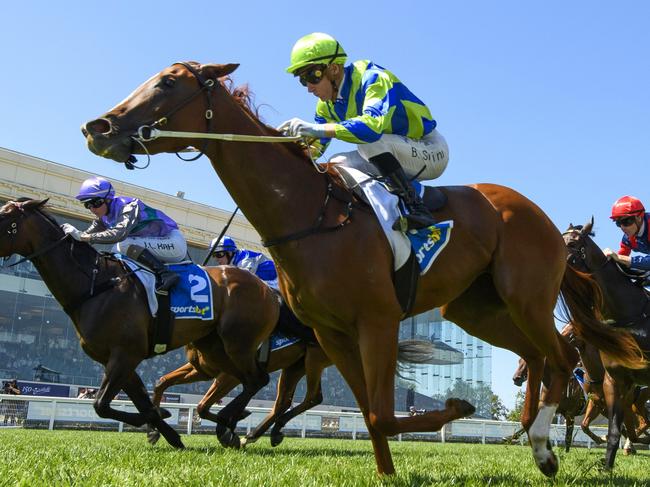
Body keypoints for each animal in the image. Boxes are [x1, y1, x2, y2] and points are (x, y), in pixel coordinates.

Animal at [0, 199, 278, 450]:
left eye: (4, 216)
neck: (97, 285)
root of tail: (268, 290)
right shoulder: (117, 359)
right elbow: (139, 403)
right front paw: (166, 431)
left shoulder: (125, 354)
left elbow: (101, 405)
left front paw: (160, 420)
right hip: (215, 349)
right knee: (247, 380)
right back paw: (231, 423)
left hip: (238, 343)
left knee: (257, 379)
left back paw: (229, 420)